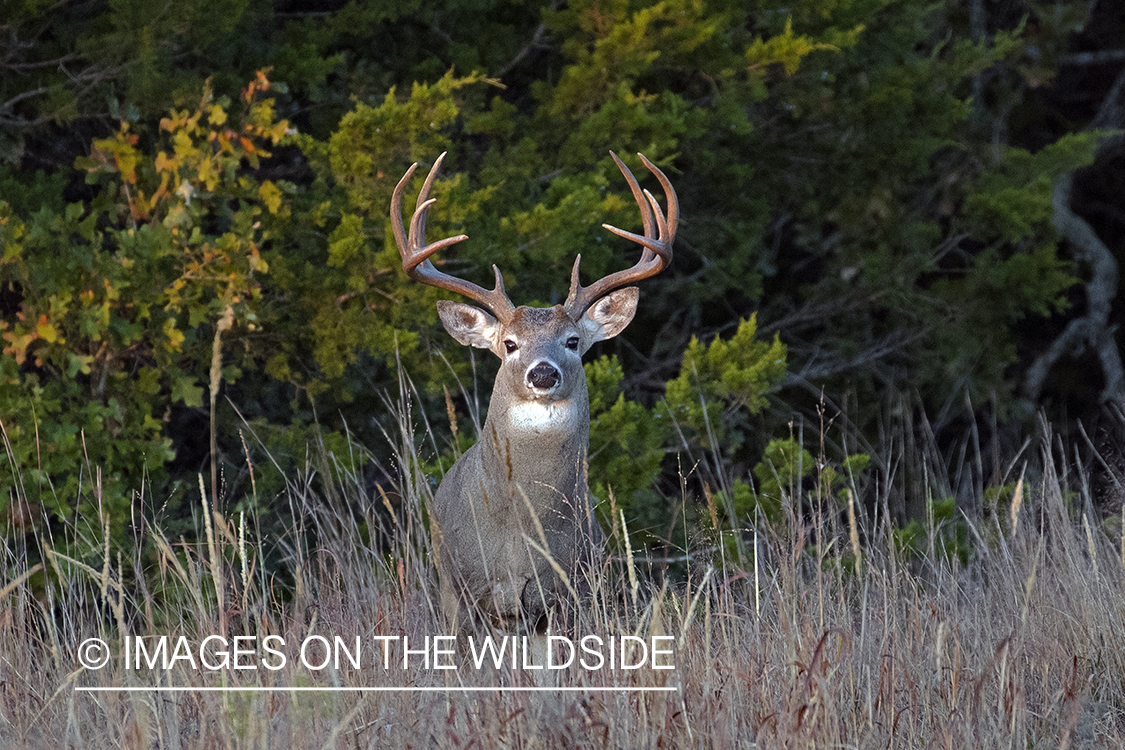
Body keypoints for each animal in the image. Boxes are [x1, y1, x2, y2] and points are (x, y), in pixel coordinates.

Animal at [393, 149, 675, 638]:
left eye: (573, 341)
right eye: (509, 344)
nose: (543, 373)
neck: (520, 536)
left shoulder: (570, 591)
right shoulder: (463, 592)